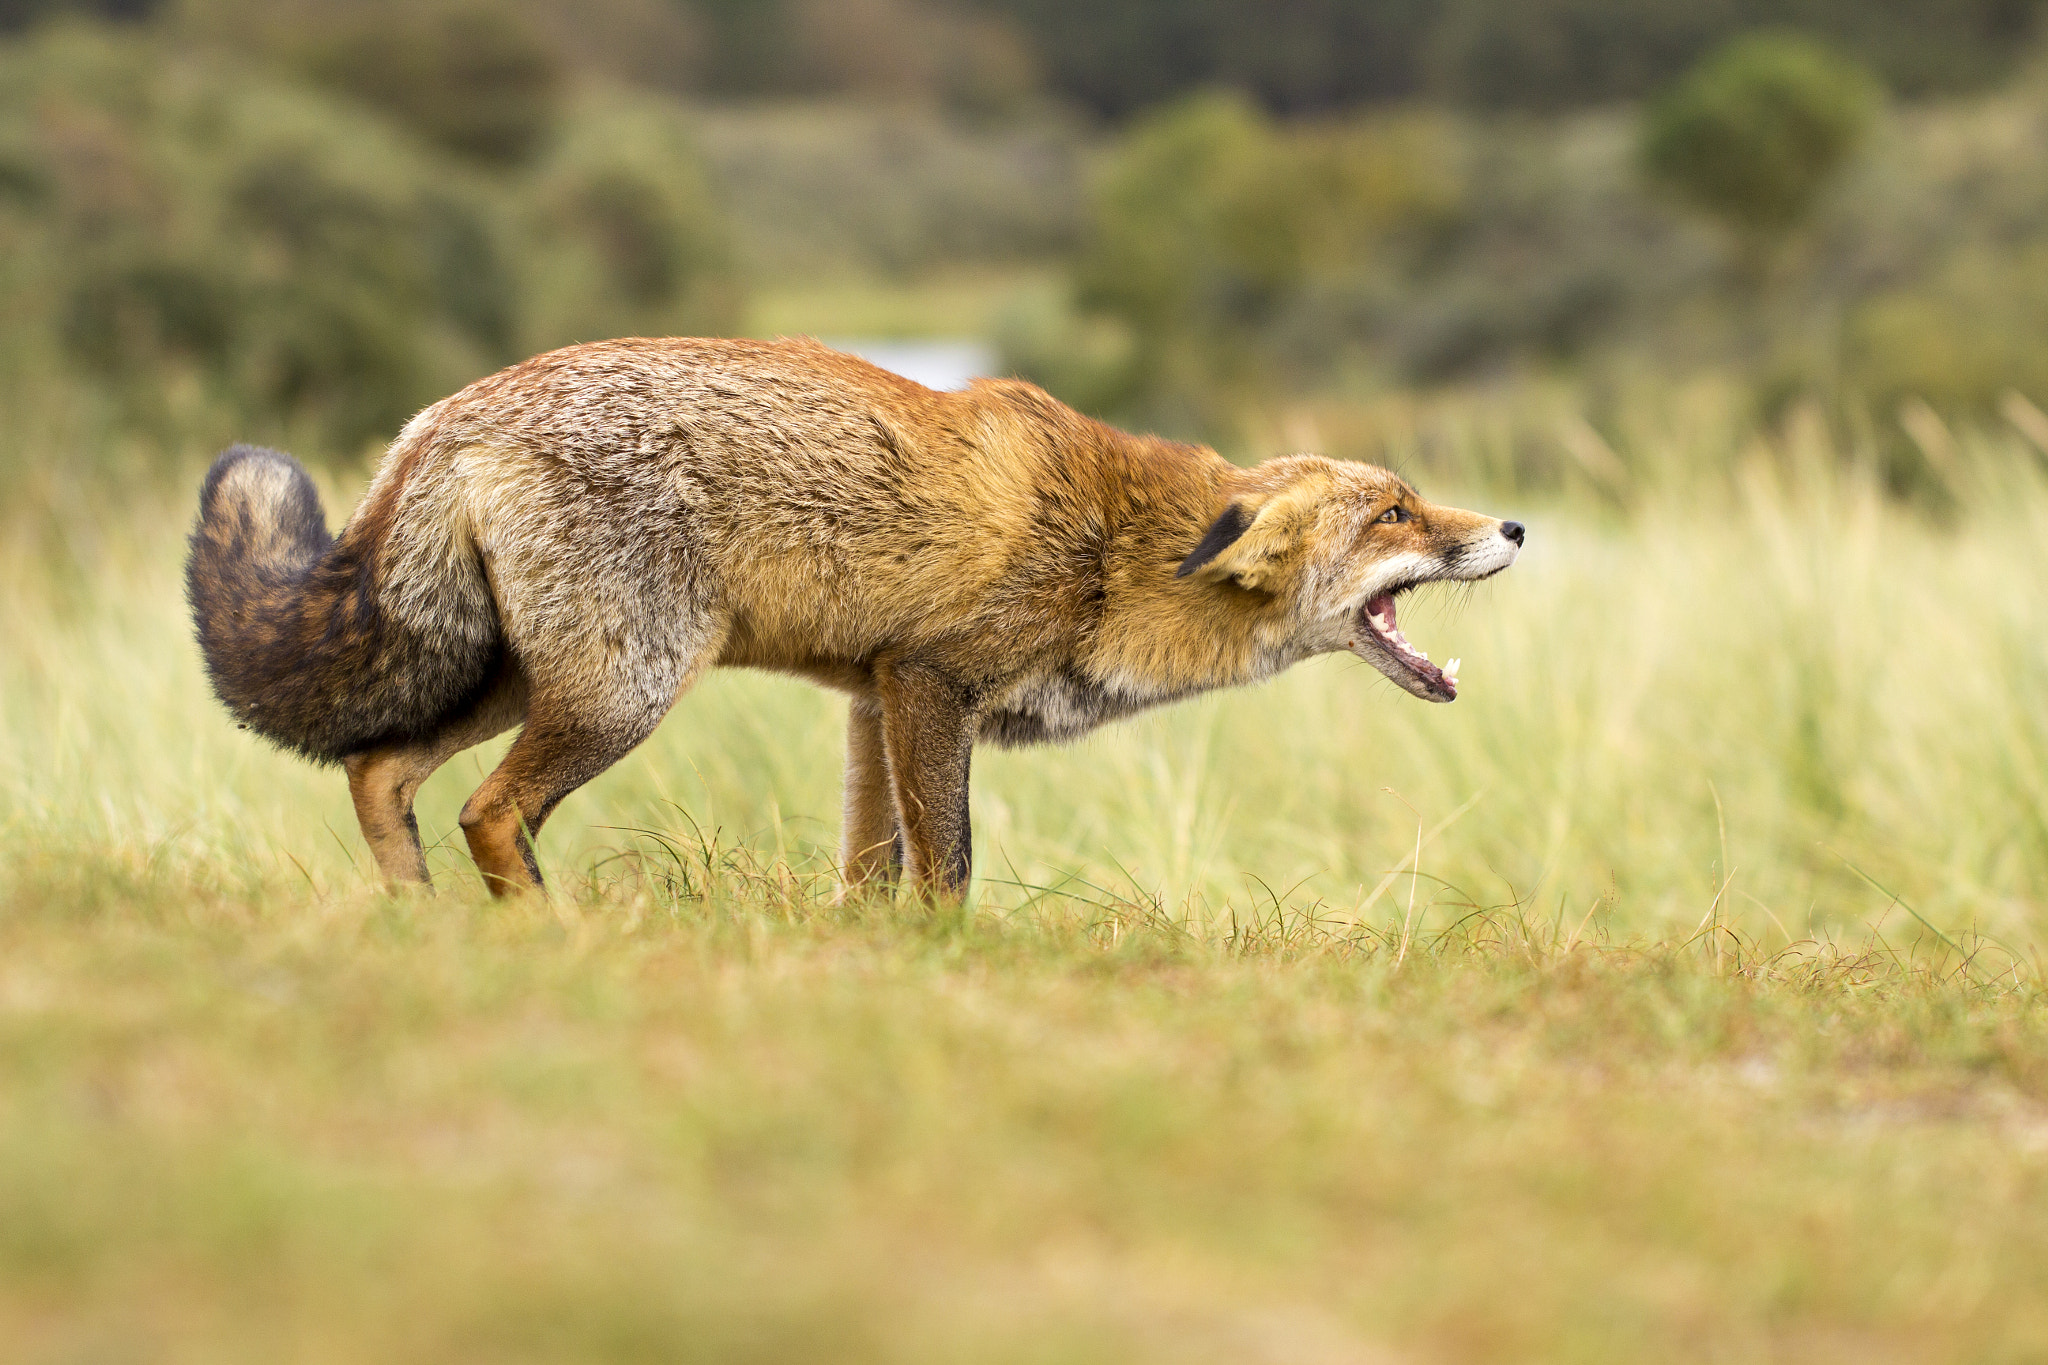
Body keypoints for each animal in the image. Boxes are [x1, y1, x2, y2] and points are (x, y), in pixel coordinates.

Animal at [188, 337, 1523, 900]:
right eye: (1396, 512)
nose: (1513, 526)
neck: (1116, 551)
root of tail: (448, 413)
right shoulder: (932, 685)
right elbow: (948, 868)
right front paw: (948, 973)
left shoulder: (872, 699)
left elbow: (870, 871)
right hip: (624, 690)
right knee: (485, 811)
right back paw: (544, 940)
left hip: (529, 678)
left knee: (379, 771)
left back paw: (421, 930)